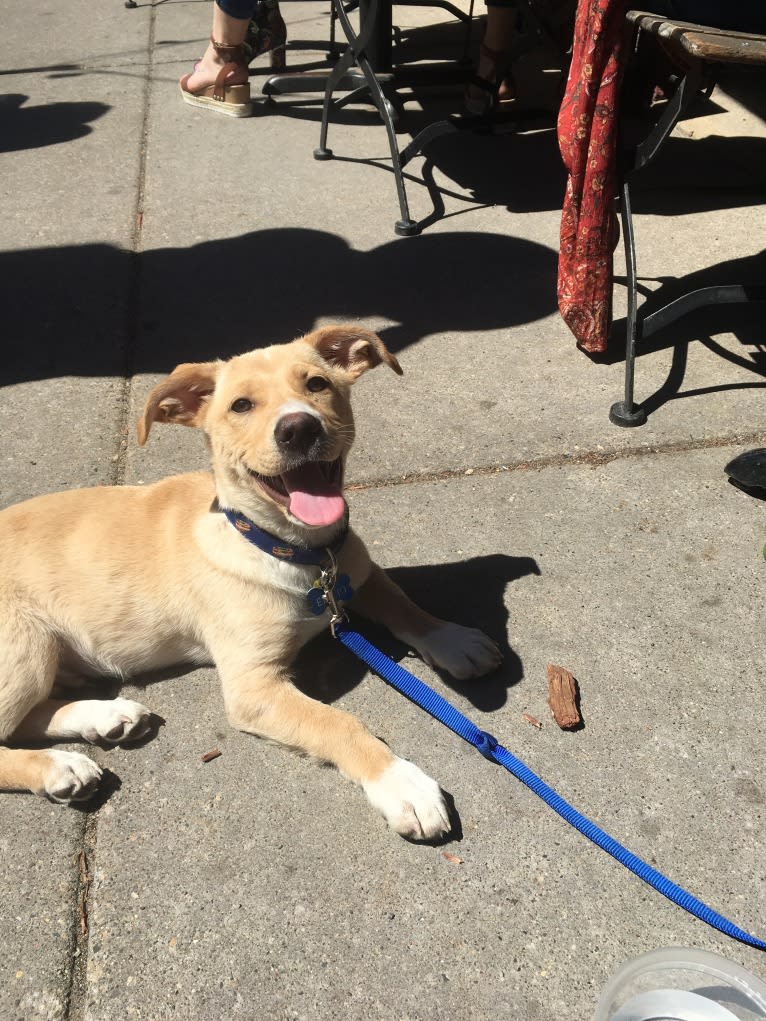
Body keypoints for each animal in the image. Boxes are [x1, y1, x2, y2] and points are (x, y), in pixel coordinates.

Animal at [0, 326, 500, 837]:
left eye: (317, 384)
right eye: (240, 405)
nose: (299, 428)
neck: (297, 553)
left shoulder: (355, 572)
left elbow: (400, 601)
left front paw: (452, 639)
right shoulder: (254, 688)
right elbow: (339, 722)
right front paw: (401, 782)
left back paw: (104, 716)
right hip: (25, 645)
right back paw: (57, 765)